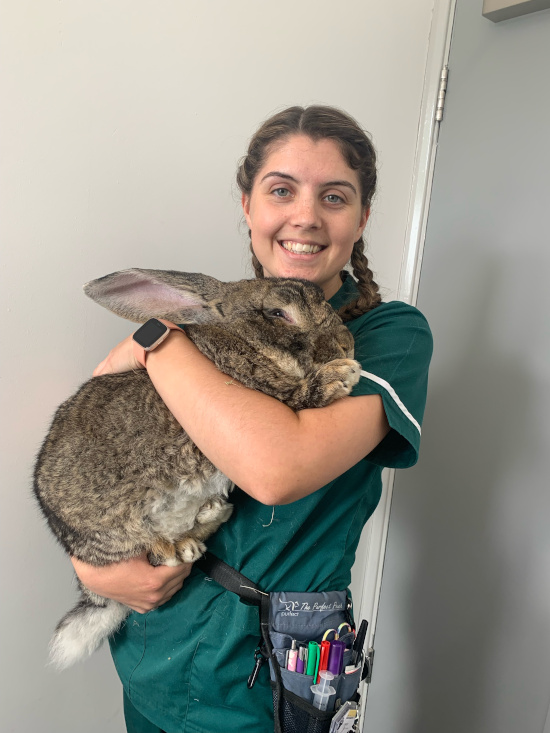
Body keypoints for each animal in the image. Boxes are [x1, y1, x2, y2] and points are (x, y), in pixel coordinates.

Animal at [34, 268, 362, 668]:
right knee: (155, 552)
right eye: (278, 313)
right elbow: (298, 395)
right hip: (116, 531)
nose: (347, 346)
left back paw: (207, 519)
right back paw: (182, 542)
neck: (240, 339)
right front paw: (341, 375)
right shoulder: (258, 384)